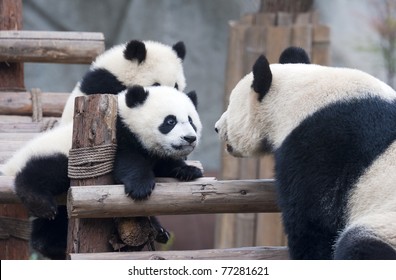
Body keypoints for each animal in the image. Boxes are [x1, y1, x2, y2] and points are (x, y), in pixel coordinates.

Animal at [1, 85, 203, 258]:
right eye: (170, 121)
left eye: (191, 121)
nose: (190, 138)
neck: (125, 117)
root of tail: (10, 164)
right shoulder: (119, 135)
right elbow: (128, 162)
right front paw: (140, 187)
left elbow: (165, 163)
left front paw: (188, 170)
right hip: (57, 157)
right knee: (42, 174)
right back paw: (42, 205)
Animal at [215, 47, 396, 260]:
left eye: (230, 104)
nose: (217, 128)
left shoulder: (321, 144)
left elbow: (313, 219)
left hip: (386, 225)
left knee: (358, 245)